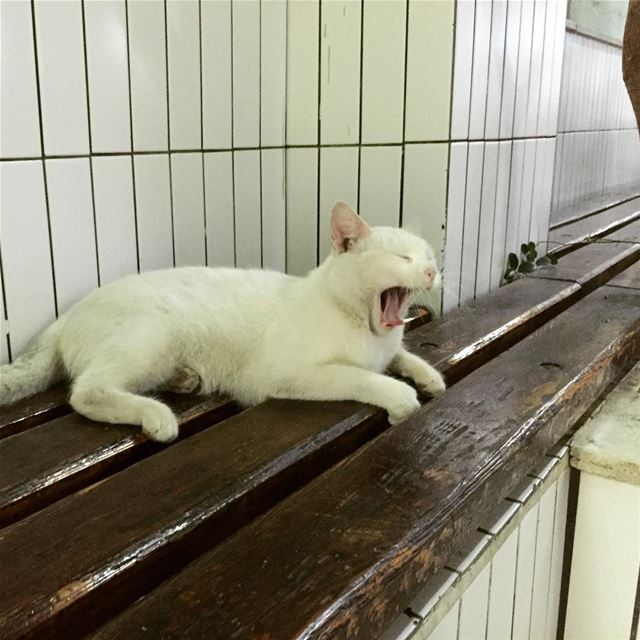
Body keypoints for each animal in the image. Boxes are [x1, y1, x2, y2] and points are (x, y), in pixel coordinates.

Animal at [1, 204, 444, 440]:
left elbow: (404, 356)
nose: (432, 272)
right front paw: (401, 397)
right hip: (150, 337)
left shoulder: (390, 348)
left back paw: (185, 379)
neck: (369, 332)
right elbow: (361, 377)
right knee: (86, 392)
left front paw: (428, 376)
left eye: (428, 256)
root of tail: (66, 315)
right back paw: (157, 416)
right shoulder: (290, 374)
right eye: (403, 259)